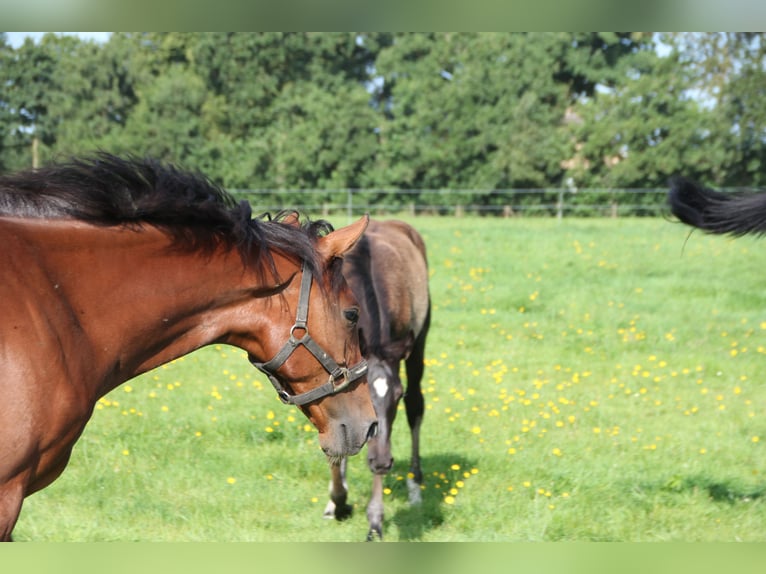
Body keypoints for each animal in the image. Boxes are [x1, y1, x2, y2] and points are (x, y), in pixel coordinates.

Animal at [322, 218, 432, 544]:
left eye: (396, 396)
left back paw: (415, 486)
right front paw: (336, 501)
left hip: (419, 341)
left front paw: (374, 521)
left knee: (417, 406)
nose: (383, 462)